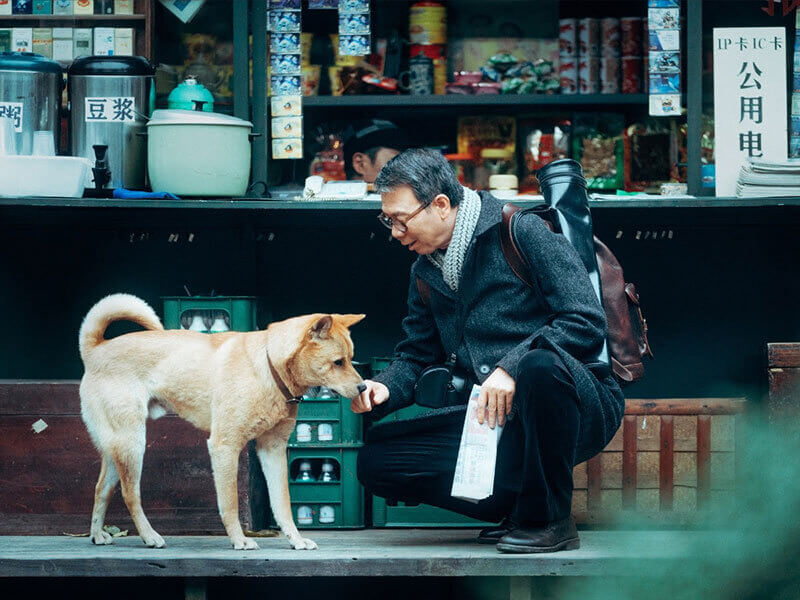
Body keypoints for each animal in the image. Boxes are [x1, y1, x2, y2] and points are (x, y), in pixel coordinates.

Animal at [78, 292, 366, 552]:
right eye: (338, 362)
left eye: (350, 359)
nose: (364, 387)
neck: (267, 367)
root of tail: (95, 349)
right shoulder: (224, 446)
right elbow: (230, 503)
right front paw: (239, 540)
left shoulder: (272, 449)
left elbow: (282, 504)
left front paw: (295, 540)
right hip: (133, 444)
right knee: (130, 495)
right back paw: (150, 536)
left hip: (117, 448)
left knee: (101, 488)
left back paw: (97, 535)